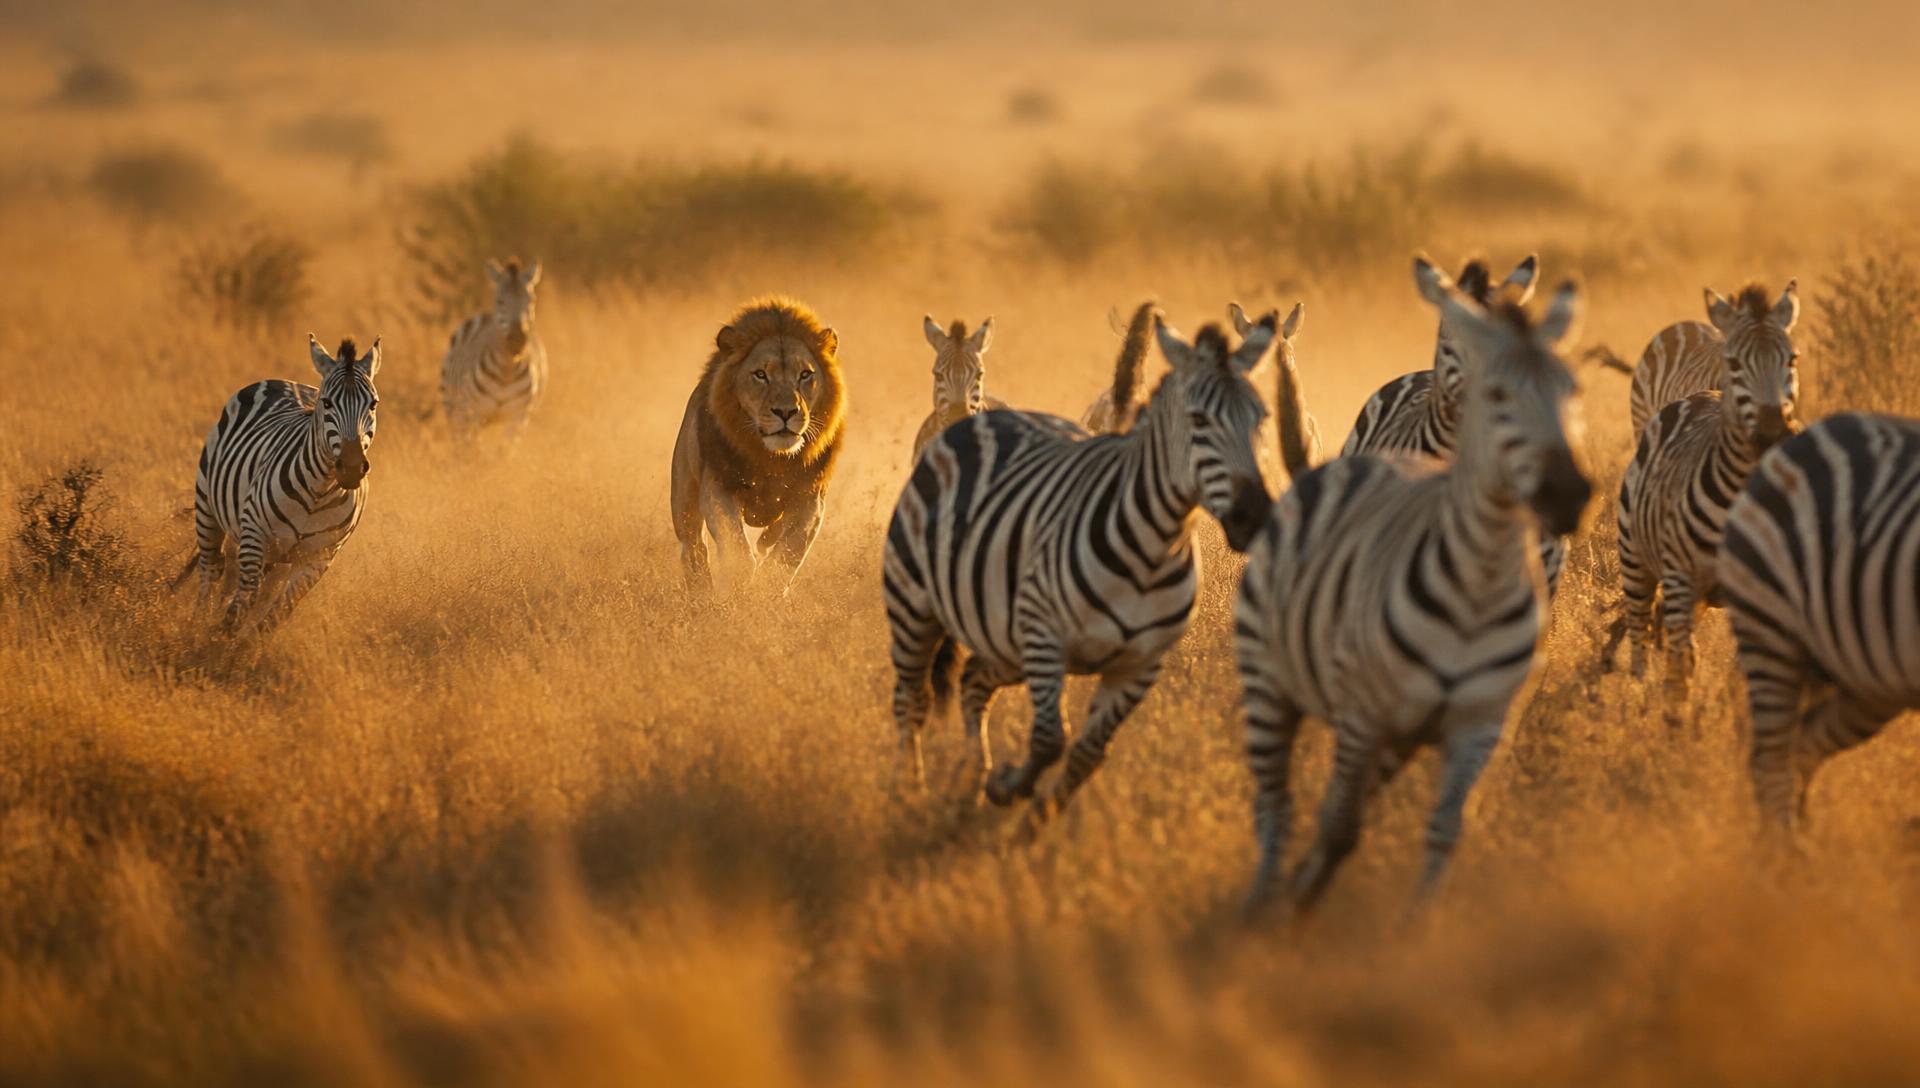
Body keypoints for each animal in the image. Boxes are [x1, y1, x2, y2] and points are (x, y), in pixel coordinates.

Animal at [177, 336, 381, 638]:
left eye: (373, 405)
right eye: (327, 403)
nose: (353, 467)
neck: (319, 492)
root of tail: (282, 380)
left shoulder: (319, 558)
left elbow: (277, 614)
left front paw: (242, 646)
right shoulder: (254, 530)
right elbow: (245, 599)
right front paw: (217, 640)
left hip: (276, 556)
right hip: (208, 507)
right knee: (212, 570)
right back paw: (196, 624)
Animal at [441, 257, 546, 443]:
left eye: (531, 300)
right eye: (500, 301)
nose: (517, 340)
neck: (507, 371)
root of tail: (485, 316)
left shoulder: (518, 419)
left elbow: (503, 450)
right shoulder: (473, 413)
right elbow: (472, 449)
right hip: (453, 407)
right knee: (458, 441)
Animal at [670, 297, 846, 591]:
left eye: (805, 374)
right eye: (761, 374)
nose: (785, 412)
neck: (772, 459)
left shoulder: (811, 499)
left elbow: (789, 551)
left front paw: (767, 589)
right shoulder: (718, 488)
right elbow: (736, 547)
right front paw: (740, 588)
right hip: (684, 498)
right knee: (692, 547)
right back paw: (700, 590)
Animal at [1608, 282, 1799, 729]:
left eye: (1792, 359)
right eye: (1734, 363)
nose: (1773, 433)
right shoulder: (1680, 577)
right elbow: (1682, 666)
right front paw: (1679, 731)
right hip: (1637, 562)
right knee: (1643, 638)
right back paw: (1638, 709)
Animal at [1720, 413, 1920, 836]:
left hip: (1869, 682)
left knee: (1803, 744)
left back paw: (1804, 841)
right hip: (1769, 626)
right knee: (1771, 763)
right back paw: (1782, 850)